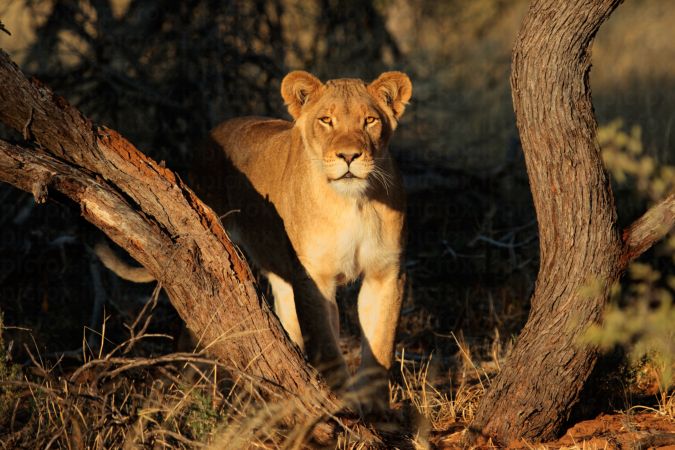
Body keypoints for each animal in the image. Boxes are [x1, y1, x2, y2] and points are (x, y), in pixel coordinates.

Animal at [98, 70, 412, 407]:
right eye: (326, 120)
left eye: (370, 121)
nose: (349, 156)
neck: (354, 203)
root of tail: (210, 137)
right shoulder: (313, 277)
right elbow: (326, 346)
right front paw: (341, 407)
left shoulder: (386, 273)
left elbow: (380, 347)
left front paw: (377, 410)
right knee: (189, 331)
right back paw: (188, 388)